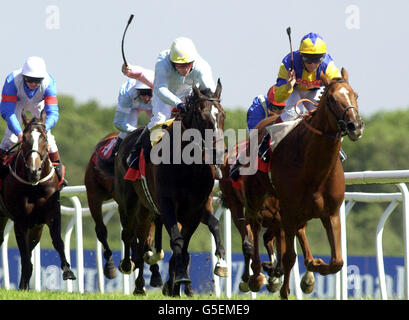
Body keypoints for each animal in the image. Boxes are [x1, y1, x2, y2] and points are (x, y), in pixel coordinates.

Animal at [0, 110, 75, 290]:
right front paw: (22, 288)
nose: (34, 170)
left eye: (45, 138)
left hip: (36, 228)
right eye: (24, 139)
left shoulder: (51, 214)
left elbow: (58, 241)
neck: (34, 185)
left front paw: (67, 270)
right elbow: (25, 258)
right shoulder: (20, 220)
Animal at [113, 81, 225, 296]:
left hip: (146, 210)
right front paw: (178, 279)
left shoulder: (195, 210)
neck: (188, 167)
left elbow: (193, 239)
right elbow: (177, 240)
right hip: (129, 202)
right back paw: (129, 268)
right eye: (201, 115)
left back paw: (142, 283)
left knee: (142, 240)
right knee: (129, 234)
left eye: (222, 115)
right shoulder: (167, 206)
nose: (218, 152)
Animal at [242, 69, 364, 298]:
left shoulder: (331, 213)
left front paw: (315, 265)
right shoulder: (289, 213)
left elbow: (337, 261)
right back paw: (255, 276)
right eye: (331, 99)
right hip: (255, 196)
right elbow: (289, 256)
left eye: (356, 95)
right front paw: (284, 290)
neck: (315, 169)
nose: (355, 126)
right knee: (253, 226)